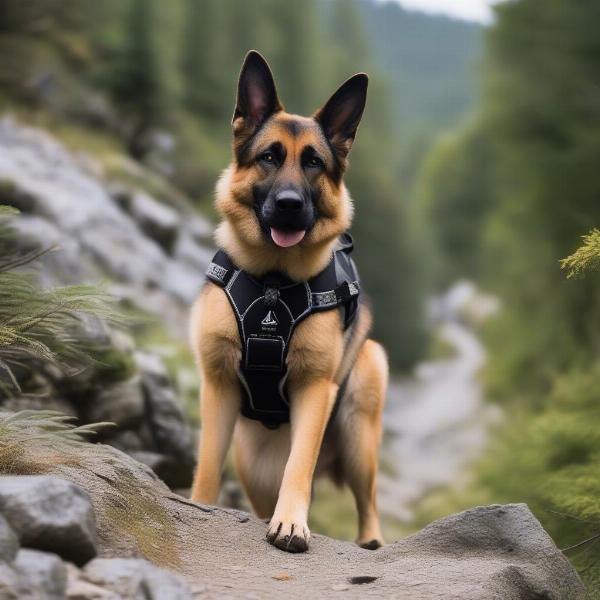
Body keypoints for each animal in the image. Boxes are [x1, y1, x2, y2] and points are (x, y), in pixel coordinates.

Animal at [191, 51, 390, 552]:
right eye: (269, 157)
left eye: (314, 162)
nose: (288, 204)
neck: (273, 283)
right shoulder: (217, 384)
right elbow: (206, 467)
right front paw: (196, 506)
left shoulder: (314, 389)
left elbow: (298, 465)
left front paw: (291, 523)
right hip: (253, 465)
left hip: (361, 412)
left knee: (367, 501)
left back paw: (371, 541)